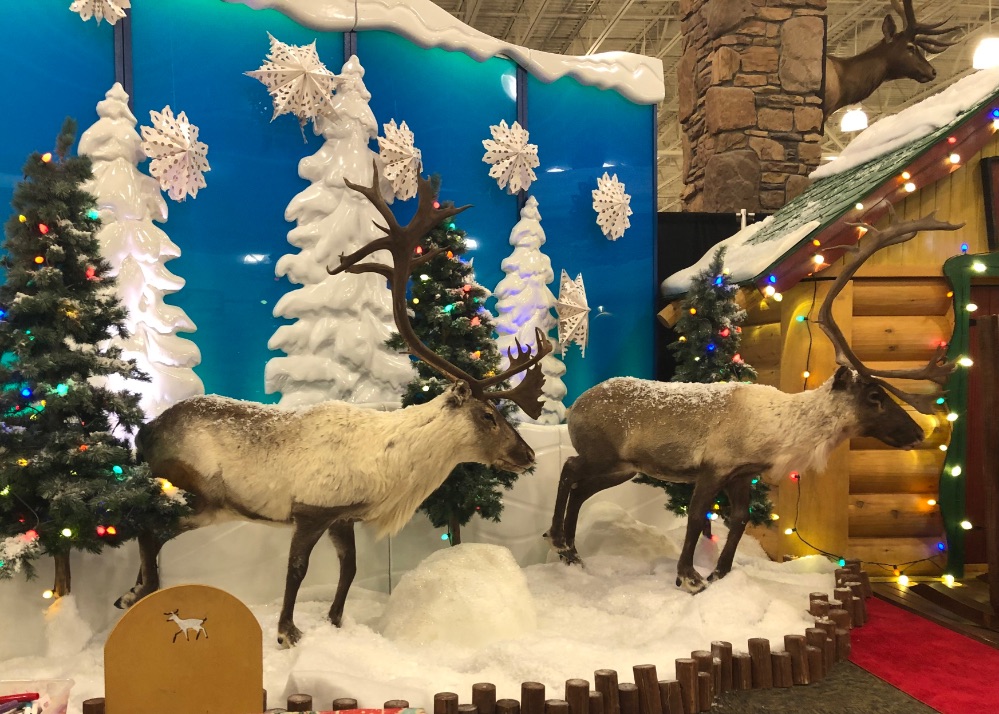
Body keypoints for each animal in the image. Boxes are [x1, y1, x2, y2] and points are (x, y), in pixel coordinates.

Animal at [115, 164, 552, 648]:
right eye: (488, 415)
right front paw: (287, 632)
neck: (390, 470)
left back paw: (132, 592)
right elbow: (297, 569)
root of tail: (144, 432)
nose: (527, 454)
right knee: (148, 528)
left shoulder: (344, 516)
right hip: (198, 493)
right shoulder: (311, 510)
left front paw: (336, 622)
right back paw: (141, 592)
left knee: (146, 529)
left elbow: (351, 568)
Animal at [547, 211, 962, 594]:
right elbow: (696, 517)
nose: (917, 433)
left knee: (580, 487)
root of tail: (576, 405)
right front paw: (689, 577)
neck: (780, 435)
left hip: (624, 467)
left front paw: (720, 573)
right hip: (603, 454)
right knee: (569, 468)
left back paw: (571, 550)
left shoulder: (742, 473)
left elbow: (740, 519)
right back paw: (557, 540)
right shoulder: (714, 465)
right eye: (875, 396)